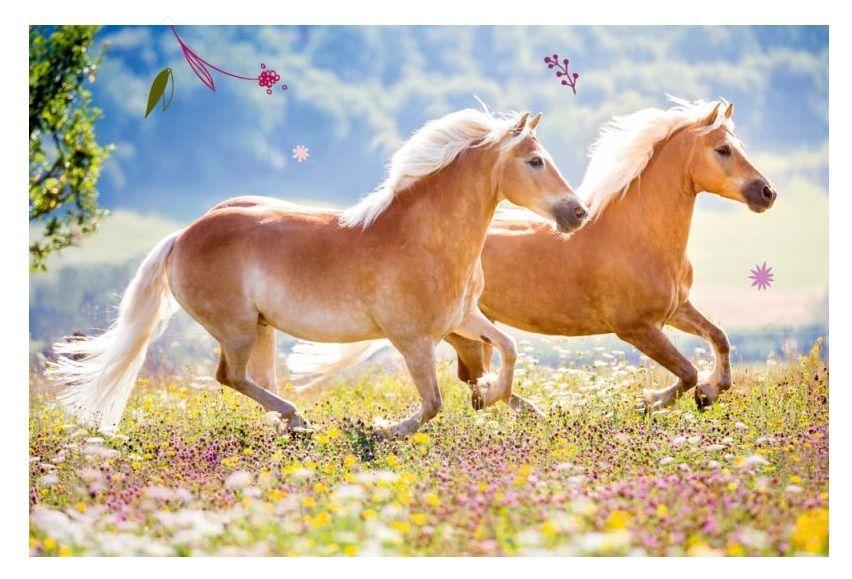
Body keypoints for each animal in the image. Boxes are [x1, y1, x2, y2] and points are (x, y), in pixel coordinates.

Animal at [50, 108, 588, 437]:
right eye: (535, 161)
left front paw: (500, 397)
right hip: (236, 328)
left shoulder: (462, 318)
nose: (578, 213)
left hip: (262, 329)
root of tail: (182, 235)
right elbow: (433, 403)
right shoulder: (412, 339)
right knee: (229, 376)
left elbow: (508, 348)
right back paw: (298, 419)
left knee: (253, 379)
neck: (423, 238)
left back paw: (292, 425)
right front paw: (382, 430)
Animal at [289, 98, 776, 411]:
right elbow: (686, 371)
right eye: (723, 149)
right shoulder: (635, 327)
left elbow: (719, 338)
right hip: (459, 330)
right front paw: (656, 400)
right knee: (473, 379)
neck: (638, 237)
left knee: (475, 378)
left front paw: (712, 391)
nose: (767, 193)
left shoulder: (675, 309)